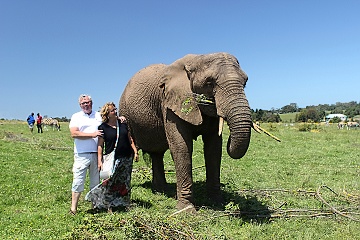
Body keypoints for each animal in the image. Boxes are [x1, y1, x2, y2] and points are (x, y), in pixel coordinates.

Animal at [119, 52, 252, 212]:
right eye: (209, 83)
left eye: (245, 82)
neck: (197, 59)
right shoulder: (170, 103)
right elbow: (181, 147)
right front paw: (186, 210)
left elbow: (213, 149)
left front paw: (217, 202)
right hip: (125, 115)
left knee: (157, 154)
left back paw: (161, 190)